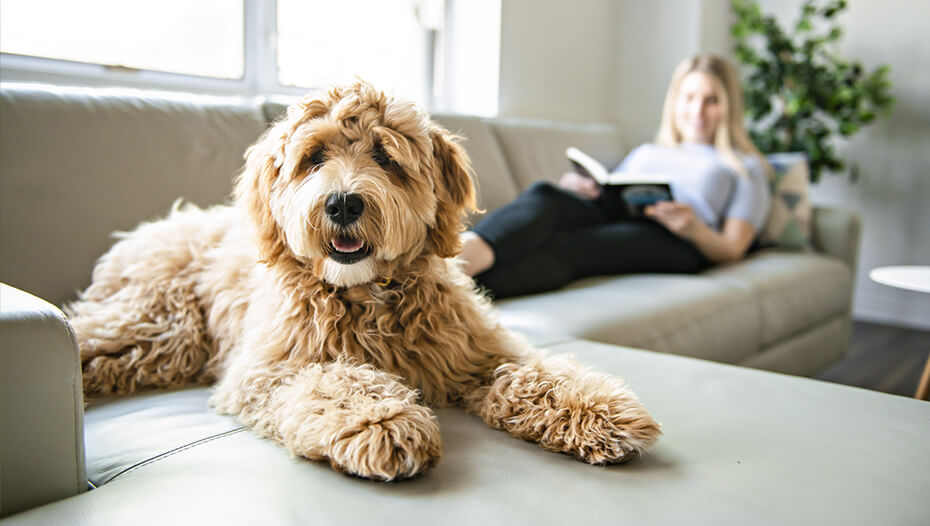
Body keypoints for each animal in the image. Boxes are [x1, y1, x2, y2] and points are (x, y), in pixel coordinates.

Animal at [67, 82, 660, 482]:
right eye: (312, 158)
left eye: (384, 156)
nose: (343, 203)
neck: (366, 293)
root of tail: (147, 229)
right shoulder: (269, 371)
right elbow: (334, 382)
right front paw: (381, 420)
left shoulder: (477, 351)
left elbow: (534, 372)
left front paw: (597, 410)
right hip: (160, 326)